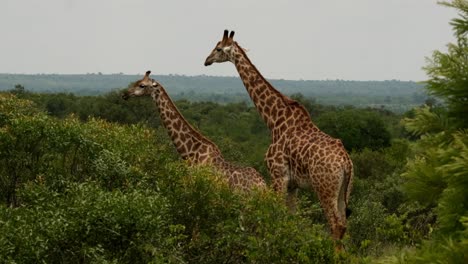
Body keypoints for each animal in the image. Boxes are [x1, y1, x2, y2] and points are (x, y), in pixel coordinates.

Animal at [203, 29, 352, 240]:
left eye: (217, 48)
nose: (206, 60)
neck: (274, 121)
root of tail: (346, 163)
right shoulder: (293, 184)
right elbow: (291, 219)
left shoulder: (278, 174)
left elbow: (276, 214)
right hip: (343, 191)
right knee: (344, 225)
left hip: (324, 187)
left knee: (335, 225)